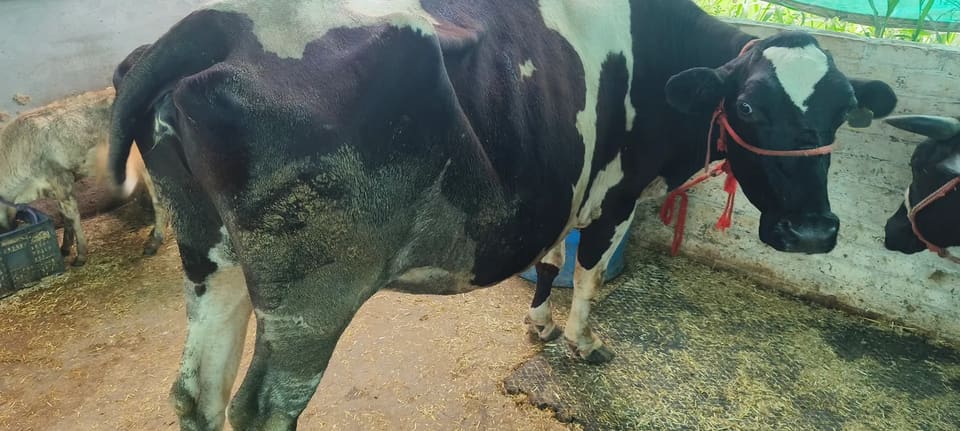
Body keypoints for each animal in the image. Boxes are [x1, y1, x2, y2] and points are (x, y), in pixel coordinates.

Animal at [0, 87, 168, 265]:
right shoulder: (53, 188)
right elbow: (64, 217)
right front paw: (64, 248)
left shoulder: (61, 179)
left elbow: (73, 217)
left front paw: (80, 255)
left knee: (159, 200)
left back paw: (154, 242)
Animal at [107, 0, 897, 429]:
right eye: (751, 107)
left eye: (841, 112)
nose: (815, 231)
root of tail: (213, 23)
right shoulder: (614, 190)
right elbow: (590, 273)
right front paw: (580, 340)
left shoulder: (561, 191)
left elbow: (549, 259)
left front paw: (538, 322)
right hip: (313, 292)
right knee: (263, 405)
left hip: (211, 258)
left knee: (196, 392)